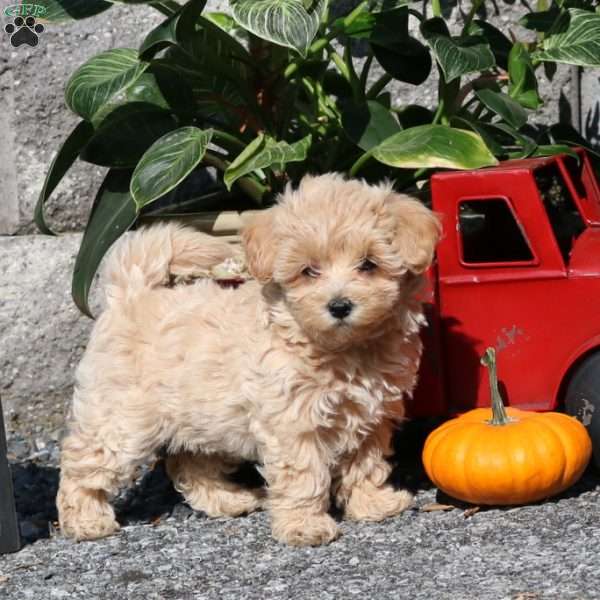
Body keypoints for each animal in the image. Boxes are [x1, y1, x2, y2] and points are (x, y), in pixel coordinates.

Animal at [56, 172, 440, 544]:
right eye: (308, 271)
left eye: (369, 264)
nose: (340, 305)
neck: (342, 349)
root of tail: (130, 293)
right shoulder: (292, 423)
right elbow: (303, 475)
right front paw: (304, 526)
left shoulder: (370, 416)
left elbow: (366, 463)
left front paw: (372, 503)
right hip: (123, 419)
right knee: (82, 462)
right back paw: (85, 521)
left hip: (202, 415)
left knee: (190, 464)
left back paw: (228, 500)